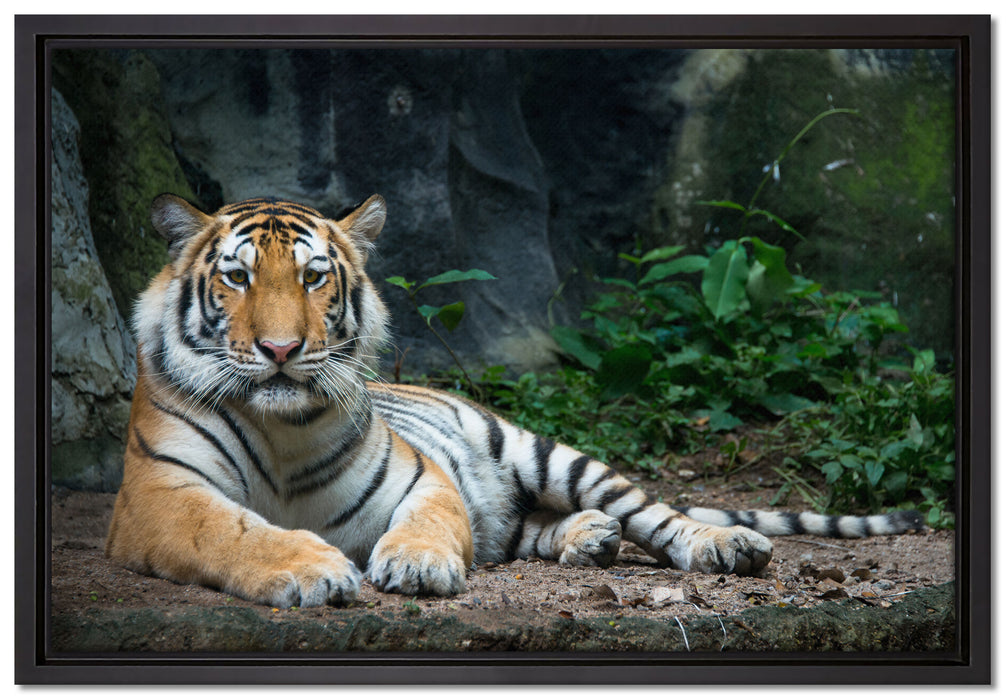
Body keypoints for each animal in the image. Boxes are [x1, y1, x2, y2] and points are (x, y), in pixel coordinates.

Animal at [104, 193, 925, 608]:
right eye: (238, 278)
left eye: (312, 277)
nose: (280, 350)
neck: (282, 429)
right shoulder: (160, 495)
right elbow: (233, 532)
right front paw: (312, 570)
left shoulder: (421, 477)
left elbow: (432, 521)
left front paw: (417, 566)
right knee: (518, 526)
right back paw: (589, 539)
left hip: (543, 451)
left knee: (654, 513)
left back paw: (721, 544)